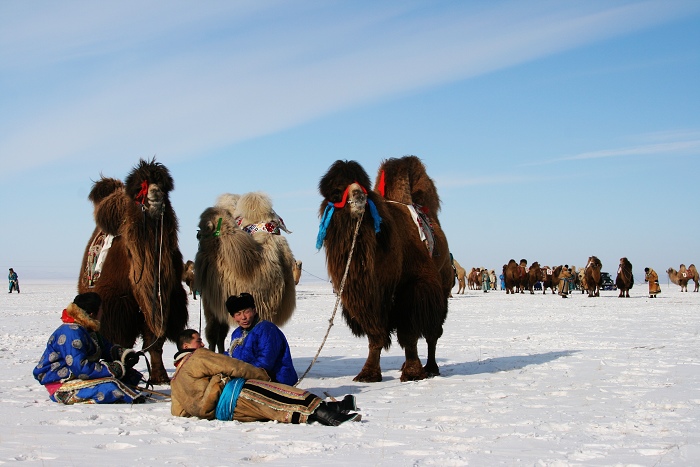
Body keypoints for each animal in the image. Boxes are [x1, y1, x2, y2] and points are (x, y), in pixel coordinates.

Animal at [78, 157, 187, 384]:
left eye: (164, 186)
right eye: (140, 190)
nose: (156, 196)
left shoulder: (167, 299)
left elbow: (155, 341)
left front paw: (160, 377)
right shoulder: (118, 304)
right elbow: (121, 341)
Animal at [318, 157, 454, 384]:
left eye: (362, 185)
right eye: (336, 192)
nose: (359, 196)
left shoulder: (413, 286)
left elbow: (409, 333)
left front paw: (413, 372)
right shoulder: (368, 297)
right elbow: (375, 335)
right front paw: (368, 373)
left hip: (443, 286)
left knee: (433, 331)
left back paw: (431, 367)